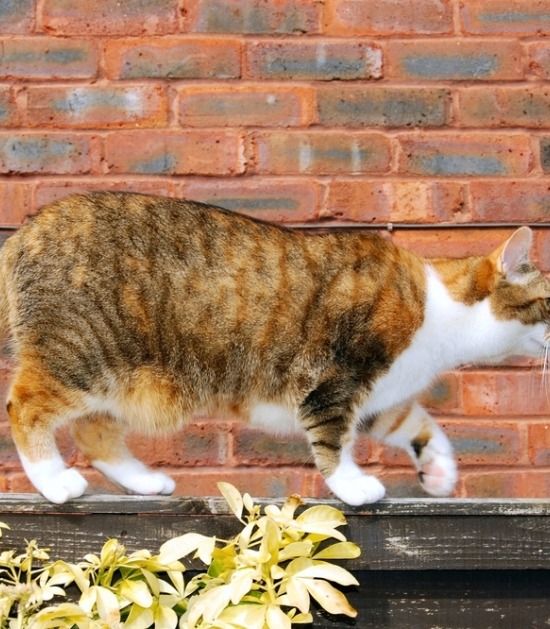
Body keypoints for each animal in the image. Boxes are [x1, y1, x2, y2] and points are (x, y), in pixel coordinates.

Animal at [1, 193, 550, 506]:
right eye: (549, 297)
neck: (440, 311)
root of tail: (24, 230)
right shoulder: (335, 382)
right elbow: (332, 440)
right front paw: (352, 485)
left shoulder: (380, 397)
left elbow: (415, 422)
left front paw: (437, 468)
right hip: (85, 353)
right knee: (24, 406)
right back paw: (53, 481)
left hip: (129, 381)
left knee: (95, 431)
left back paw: (143, 481)